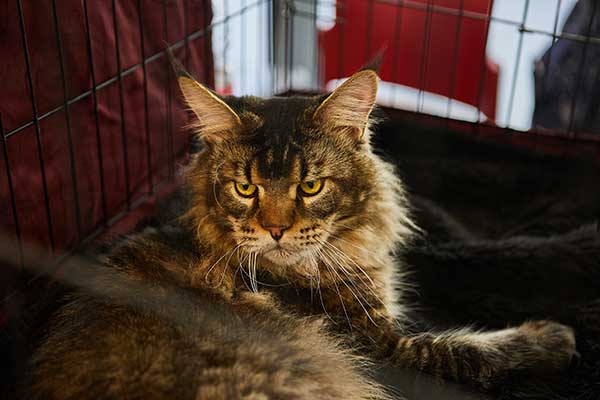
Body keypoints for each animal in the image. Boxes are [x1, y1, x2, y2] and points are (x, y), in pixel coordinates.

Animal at [22, 65, 576, 396]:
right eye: (245, 189)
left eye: (310, 186)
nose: (275, 230)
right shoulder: (386, 350)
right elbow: (470, 349)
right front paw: (554, 335)